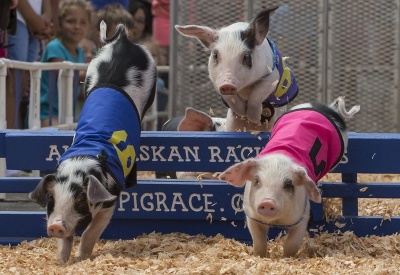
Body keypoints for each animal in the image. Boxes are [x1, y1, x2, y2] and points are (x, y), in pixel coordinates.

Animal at [27, 21, 156, 264]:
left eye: (80, 199)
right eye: (51, 198)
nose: (55, 226)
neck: (85, 156)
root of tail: (123, 40)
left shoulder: (110, 200)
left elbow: (90, 231)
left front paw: (82, 257)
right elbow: (67, 239)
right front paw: (63, 261)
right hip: (90, 70)